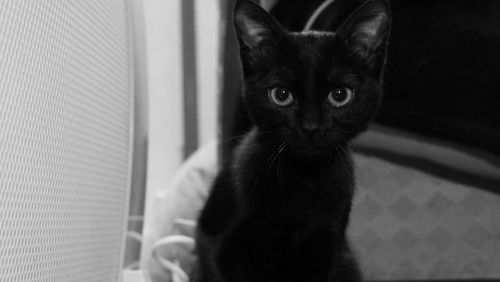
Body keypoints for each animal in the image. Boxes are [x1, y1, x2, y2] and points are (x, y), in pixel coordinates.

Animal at [191, 0, 390, 280]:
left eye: (340, 95)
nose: (310, 127)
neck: (300, 177)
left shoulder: (327, 247)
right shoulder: (215, 238)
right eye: (281, 94)